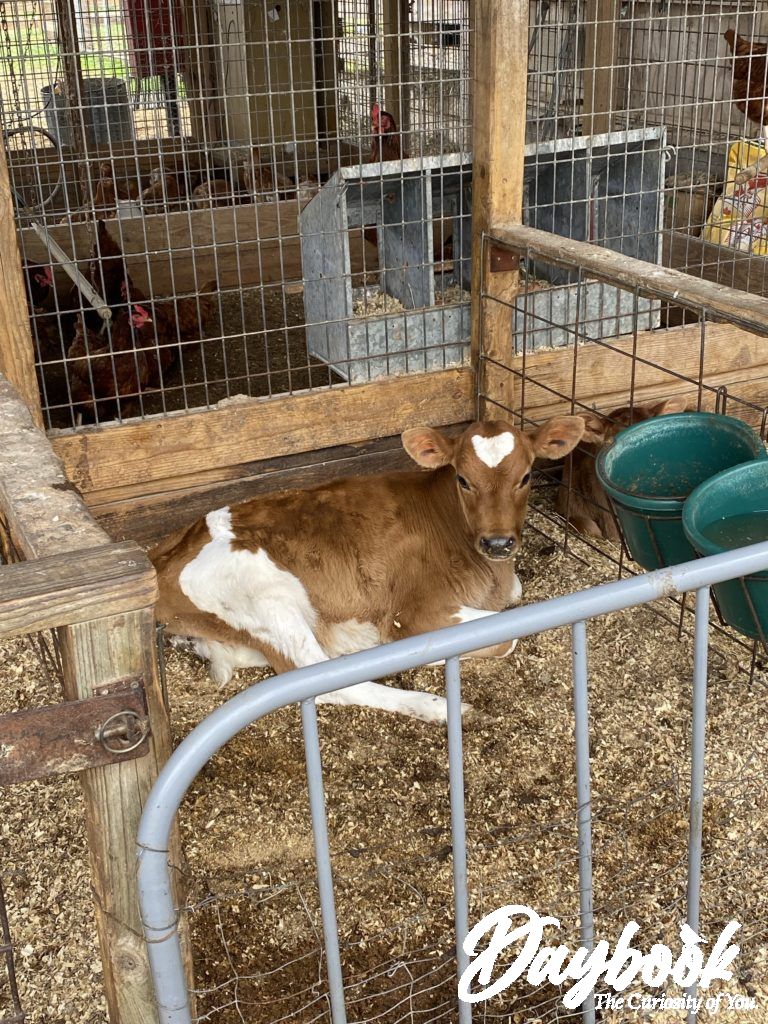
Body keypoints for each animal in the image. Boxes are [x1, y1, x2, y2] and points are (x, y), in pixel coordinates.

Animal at [150, 416, 586, 722]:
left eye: (526, 476)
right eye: (463, 479)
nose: (498, 543)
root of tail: (163, 554)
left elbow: (517, 597)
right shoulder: (414, 612)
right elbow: (507, 639)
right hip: (269, 598)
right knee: (324, 683)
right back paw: (435, 706)